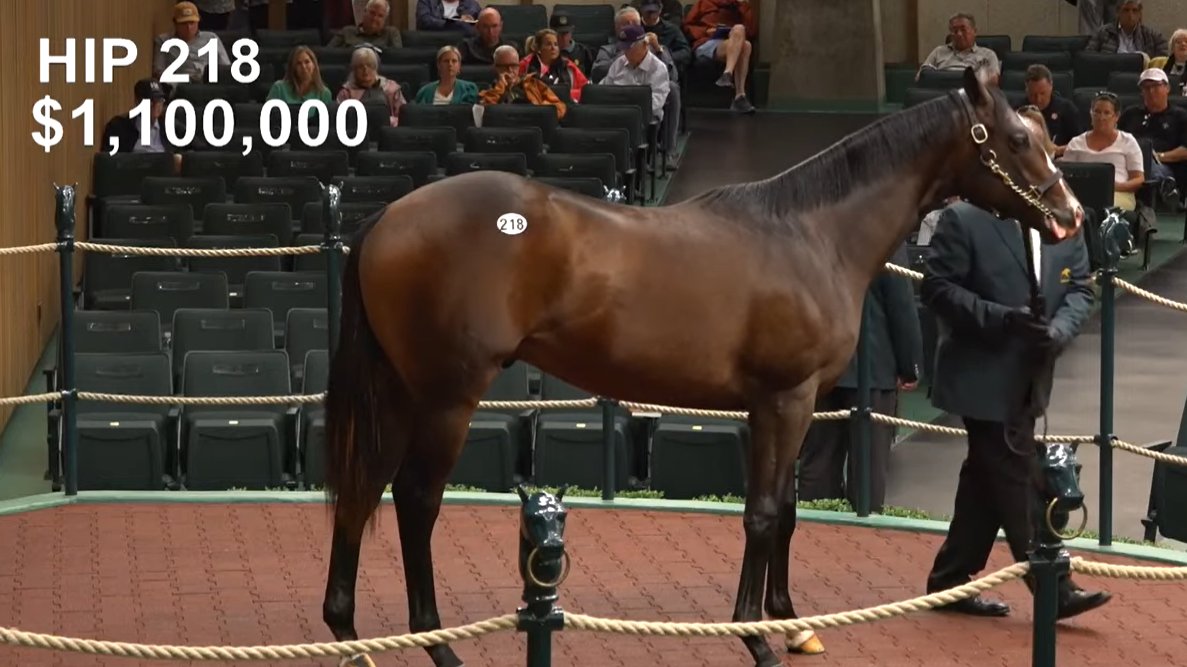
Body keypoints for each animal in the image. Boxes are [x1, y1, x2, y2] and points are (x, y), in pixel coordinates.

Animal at [320, 68, 1082, 664]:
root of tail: (385, 218)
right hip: (448, 395)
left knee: (362, 491)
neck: (811, 234)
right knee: (415, 498)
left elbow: (790, 510)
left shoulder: (800, 402)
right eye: (1017, 140)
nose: (1072, 214)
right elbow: (763, 514)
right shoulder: (783, 399)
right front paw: (755, 635)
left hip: (399, 393)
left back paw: (349, 634)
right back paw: (435, 641)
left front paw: (793, 623)